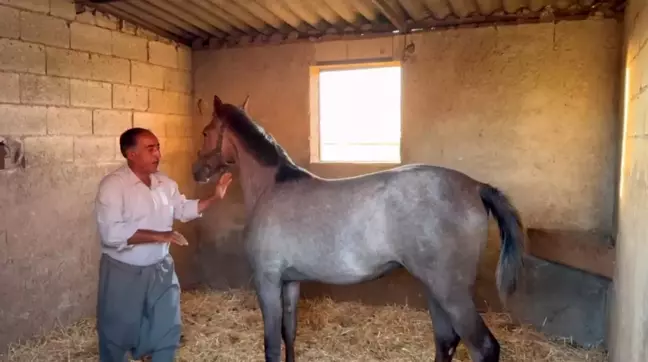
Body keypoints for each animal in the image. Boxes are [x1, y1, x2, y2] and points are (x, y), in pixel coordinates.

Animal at [192, 94, 528, 360]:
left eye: (206, 131)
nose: (197, 171)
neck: (273, 187)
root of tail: (476, 186)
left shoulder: (267, 280)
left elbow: (272, 345)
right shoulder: (290, 282)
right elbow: (290, 334)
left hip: (451, 290)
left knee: (482, 347)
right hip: (435, 288)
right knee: (445, 340)